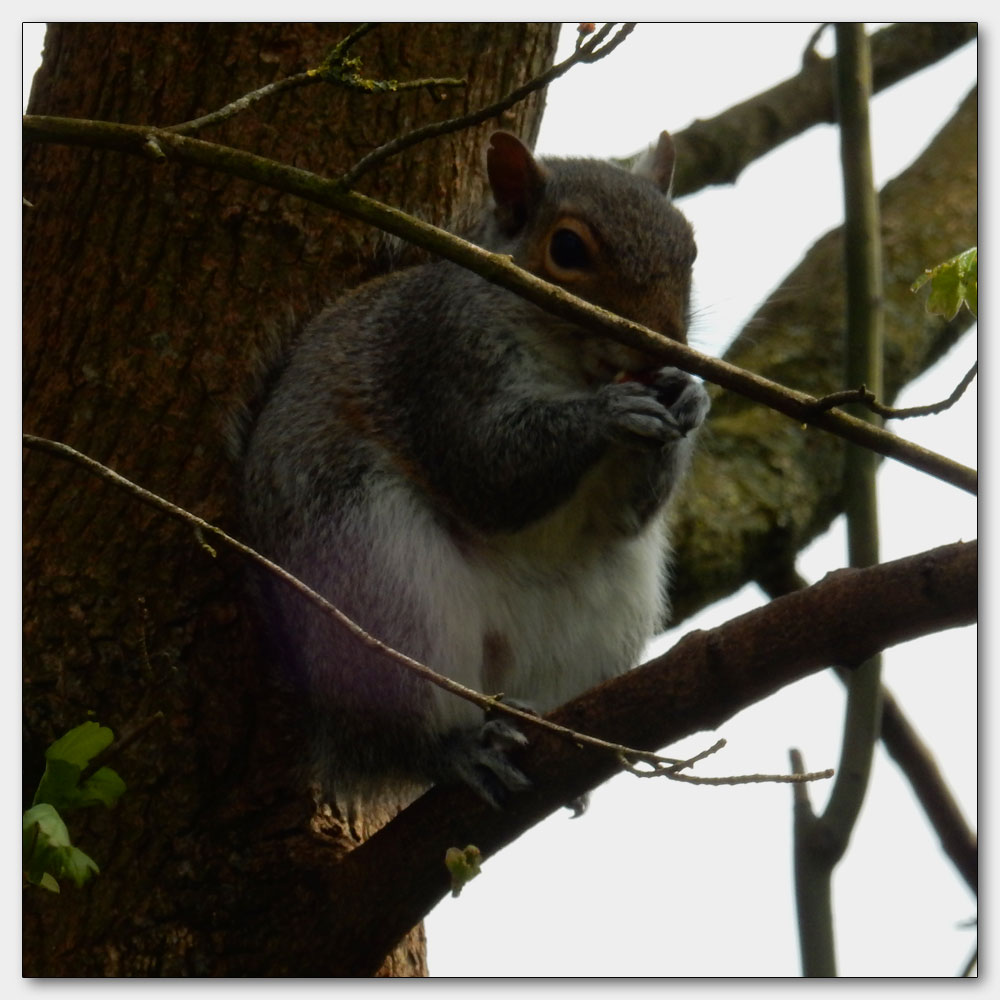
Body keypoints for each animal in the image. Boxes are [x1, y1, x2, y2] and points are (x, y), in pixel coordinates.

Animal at [240, 131, 712, 804]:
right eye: (567, 248)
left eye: (690, 249)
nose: (663, 348)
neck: (571, 365)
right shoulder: (439, 360)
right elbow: (484, 469)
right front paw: (608, 413)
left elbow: (629, 516)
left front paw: (692, 396)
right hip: (379, 584)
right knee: (402, 733)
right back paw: (456, 751)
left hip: (603, 617)